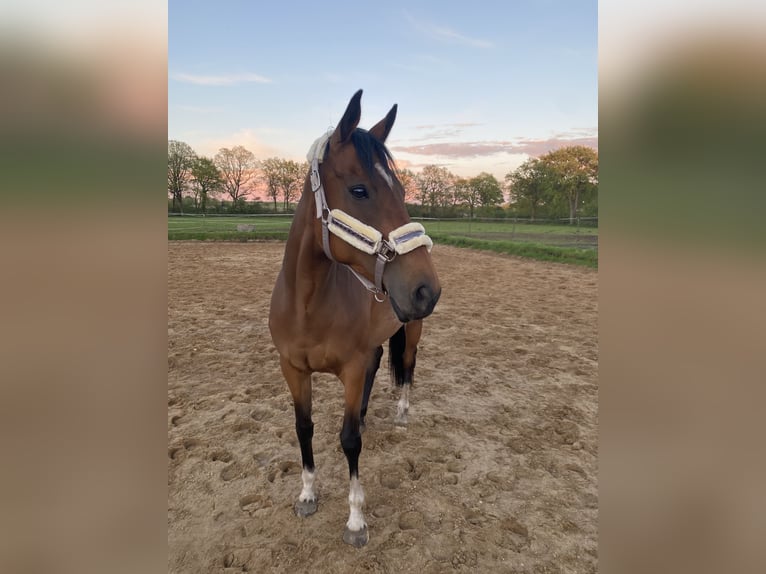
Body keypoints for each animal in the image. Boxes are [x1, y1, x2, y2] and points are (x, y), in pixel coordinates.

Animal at [270, 90, 440, 548]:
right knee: (380, 362)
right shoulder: (293, 369)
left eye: (401, 189)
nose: (427, 289)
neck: (309, 306)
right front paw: (308, 495)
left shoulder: (350, 368)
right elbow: (304, 427)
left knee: (407, 366)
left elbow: (349, 441)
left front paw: (356, 520)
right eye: (359, 189)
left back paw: (401, 414)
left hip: (412, 329)